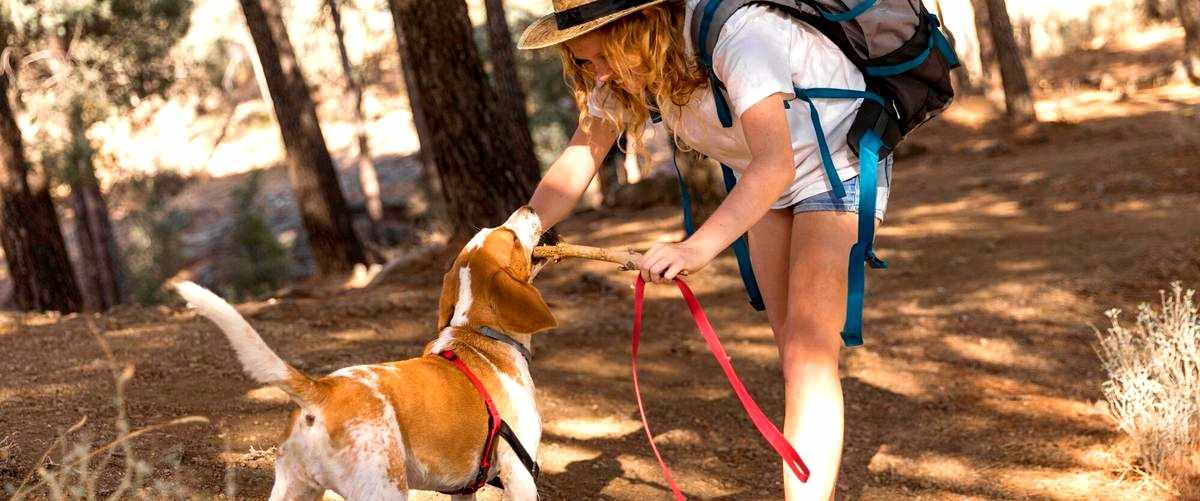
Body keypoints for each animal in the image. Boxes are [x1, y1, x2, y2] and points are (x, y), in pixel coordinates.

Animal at [175, 204, 556, 498]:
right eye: (510, 236)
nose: (529, 205)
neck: (478, 333)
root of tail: (322, 389)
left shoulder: (462, 492)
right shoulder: (519, 474)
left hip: (296, 489)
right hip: (384, 489)